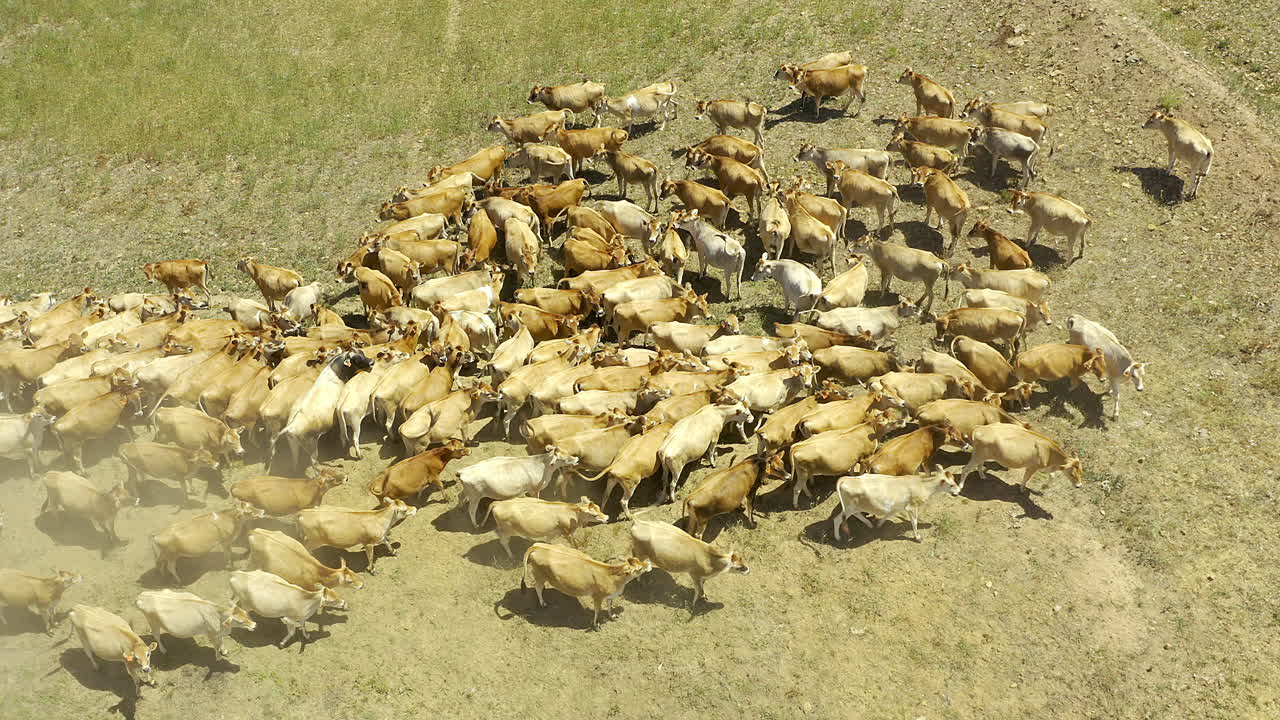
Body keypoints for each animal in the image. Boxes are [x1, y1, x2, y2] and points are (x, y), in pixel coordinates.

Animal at [520, 543, 652, 629]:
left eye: (638, 560)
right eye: (639, 569)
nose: (649, 564)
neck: (612, 577)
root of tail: (537, 546)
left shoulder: (610, 596)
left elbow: (610, 607)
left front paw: (612, 616)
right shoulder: (597, 597)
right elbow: (597, 611)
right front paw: (596, 625)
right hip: (540, 575)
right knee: (537, 587)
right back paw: (543, 603)